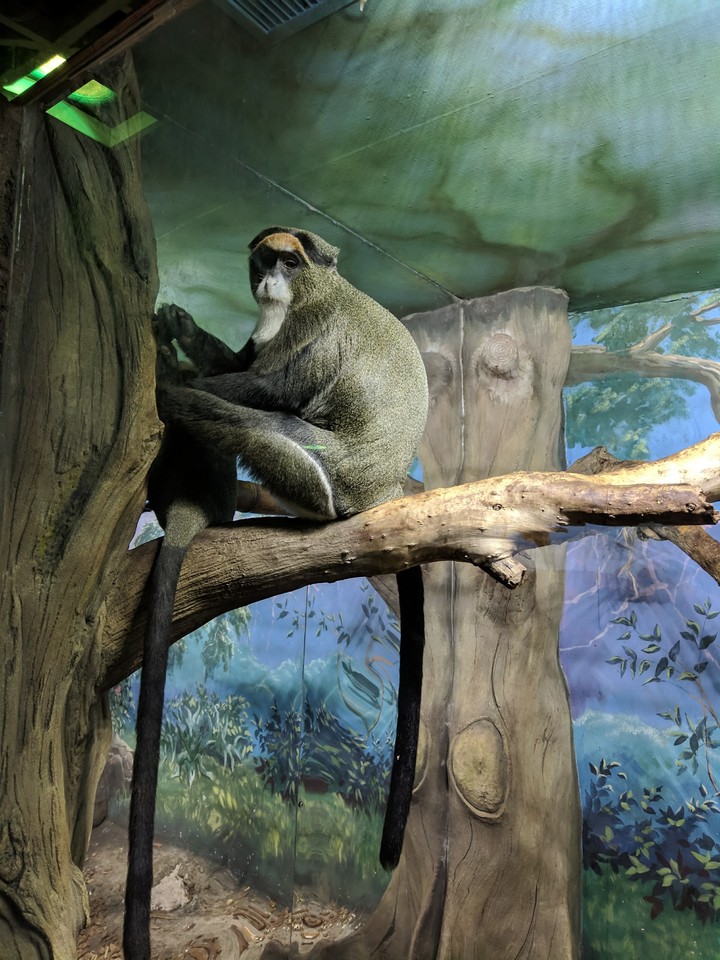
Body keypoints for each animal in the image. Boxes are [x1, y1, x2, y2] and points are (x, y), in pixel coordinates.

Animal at [123, 227, 428, 960]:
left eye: (293, 259)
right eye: (266, 257)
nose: (270, 278)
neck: (308, 294)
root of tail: (381, 491)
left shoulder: (312, 333)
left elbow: (265, 385)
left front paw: (176, 366)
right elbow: (240, 359)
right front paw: (181, 327)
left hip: (325, 475)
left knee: (257, 420)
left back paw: (180, 398)